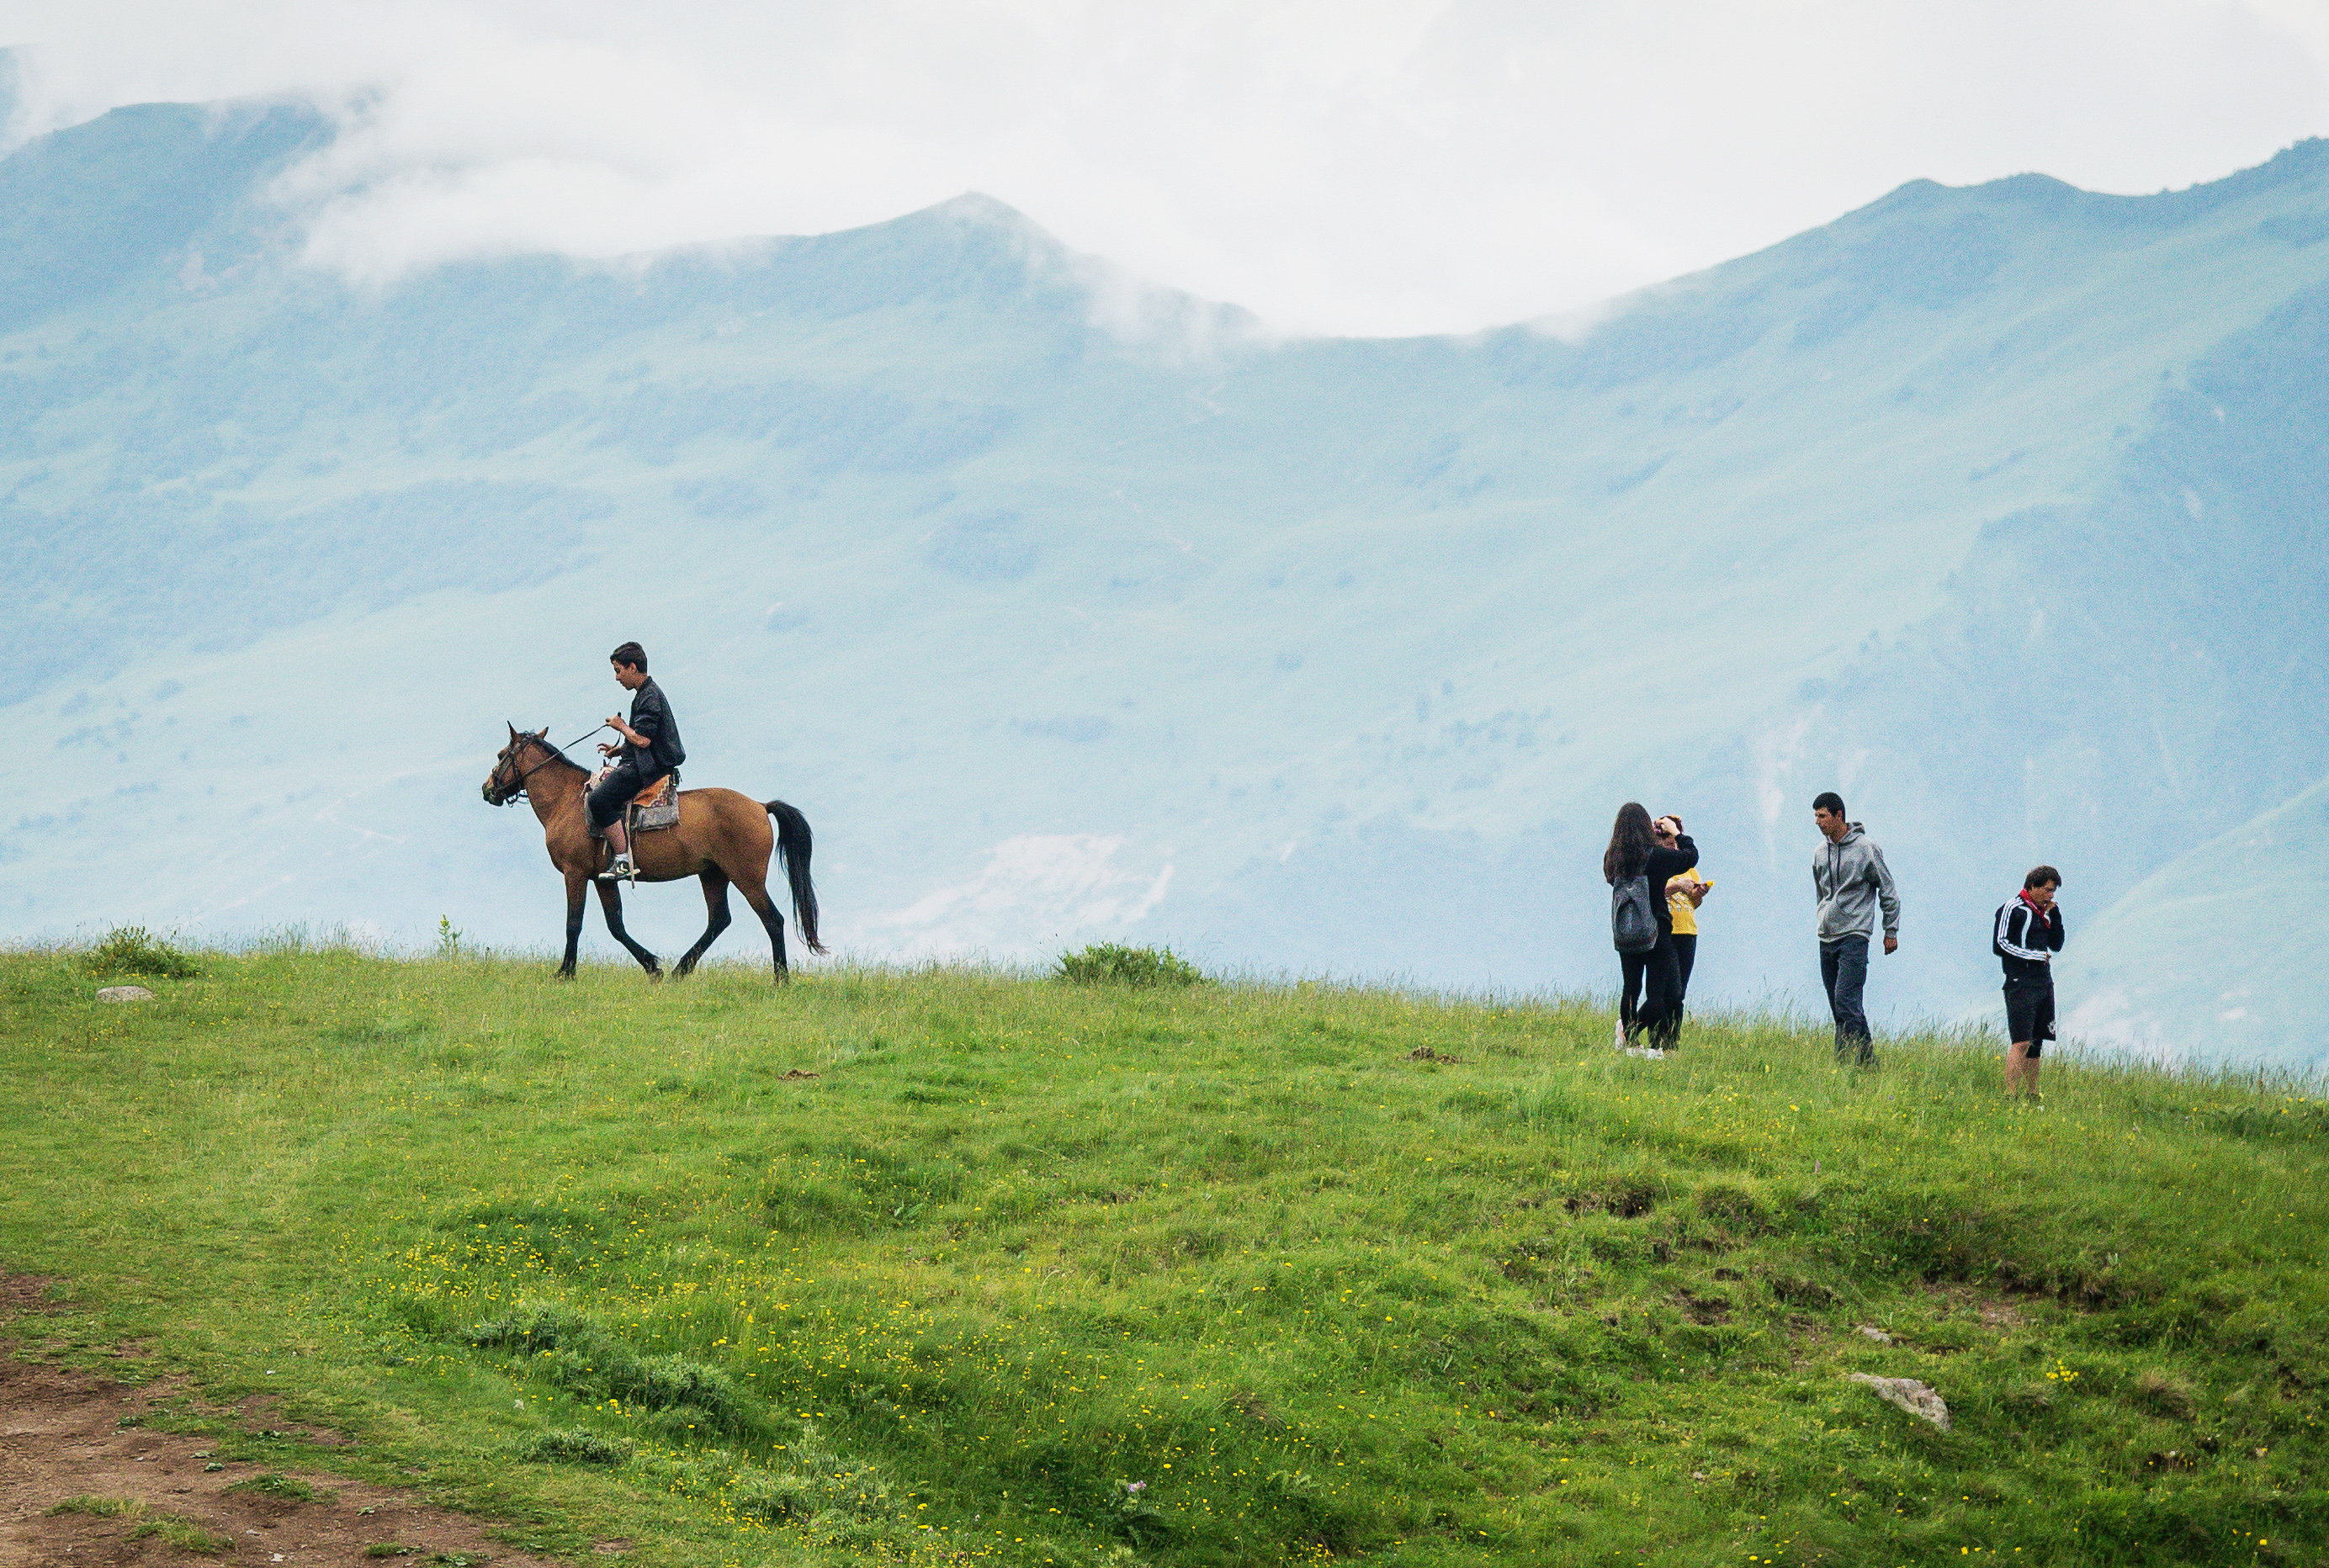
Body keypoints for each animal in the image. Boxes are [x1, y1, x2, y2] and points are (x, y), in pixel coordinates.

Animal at [481, 727, 829, 978]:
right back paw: (679, 971)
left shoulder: (575, 873)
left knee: (772, 920)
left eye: (501, 755)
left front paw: (565, 973)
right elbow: (616, 925)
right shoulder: (603, 879)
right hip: (712, 874)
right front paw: (652, 966)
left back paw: (781, 979)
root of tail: (760, 805)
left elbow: (573, 923)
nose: (487, 789)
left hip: (747, 877)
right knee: (719, 920)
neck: (567, 801)